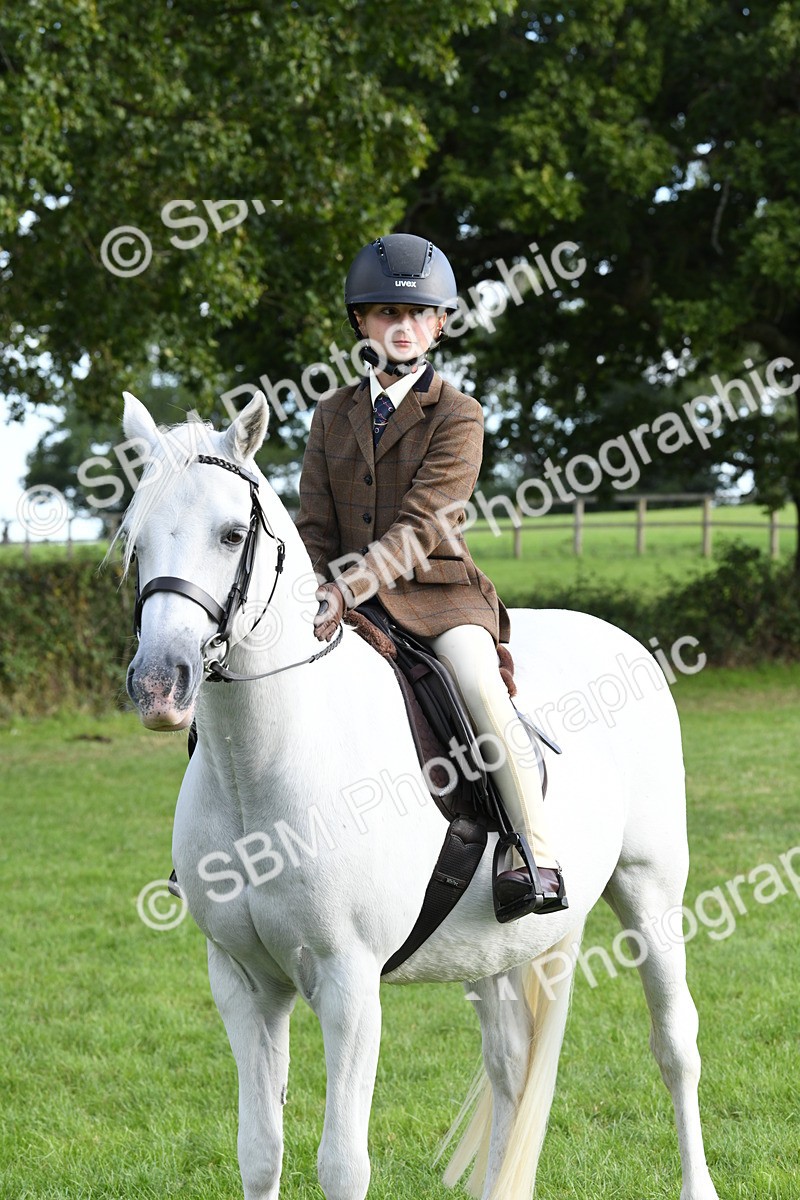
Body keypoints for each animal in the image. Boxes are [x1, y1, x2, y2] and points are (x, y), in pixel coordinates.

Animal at [119, 390, 720, 1200]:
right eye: (135, 540)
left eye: (231, 533)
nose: (160, 685)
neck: (260, 766)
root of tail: (618, 639)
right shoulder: (243, 982)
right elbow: (260, 1150)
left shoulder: (348, 983)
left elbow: (343, 1164)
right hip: (496, 944)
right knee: (509, 1067)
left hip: (650, 886)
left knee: (675, 1046)